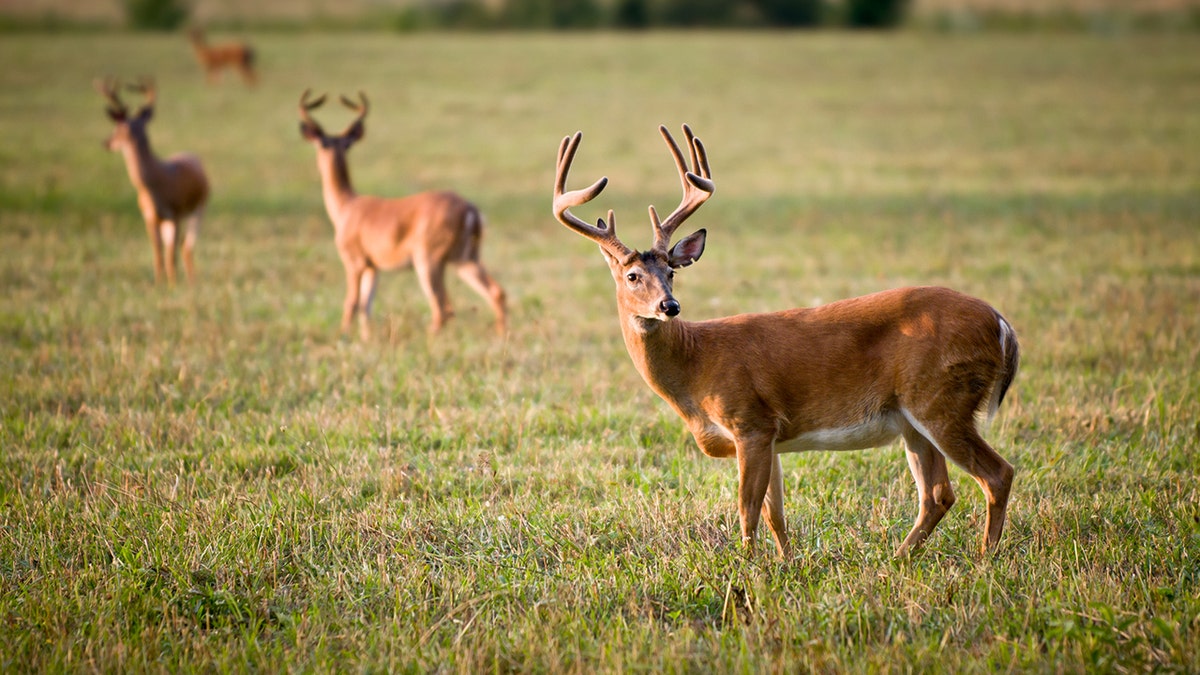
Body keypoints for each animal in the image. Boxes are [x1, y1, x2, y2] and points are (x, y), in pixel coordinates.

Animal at [99, 77, 212, 284]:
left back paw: (191, 281)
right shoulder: (150, 217)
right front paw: (159, 283)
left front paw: (173, 285)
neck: (154, 185)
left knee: (186, 246)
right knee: (177, 246)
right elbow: (158, 252)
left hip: (199, 208)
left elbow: (170, 254)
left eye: (118, 128)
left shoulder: (175, 213)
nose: (106, 142)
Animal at [302, 89, 508, 338]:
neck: (346, 206)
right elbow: (366, 306)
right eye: (326, 144)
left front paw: (344, 337)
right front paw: (366, 339)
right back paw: (501, 336)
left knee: (443, 308)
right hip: (465, 258)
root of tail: (471, 210)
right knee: (496, 292)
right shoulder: (373, 266)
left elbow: (351, 302)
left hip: (428, 259)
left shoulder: (354, 260)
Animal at [549, 123, 1017, 554]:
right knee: (938, 494)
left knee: (997, 474)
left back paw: (985, 560)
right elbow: (776, 513)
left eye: (670, 271)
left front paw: (746, 567)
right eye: (632, 275)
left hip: (941, 399)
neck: (695, 365)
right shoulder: (771, 434)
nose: (669, 306)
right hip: (912, 418)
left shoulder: (750, 420)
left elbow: (747, 510)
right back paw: (900, 559)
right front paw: (785, 564)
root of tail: (1001, 324)